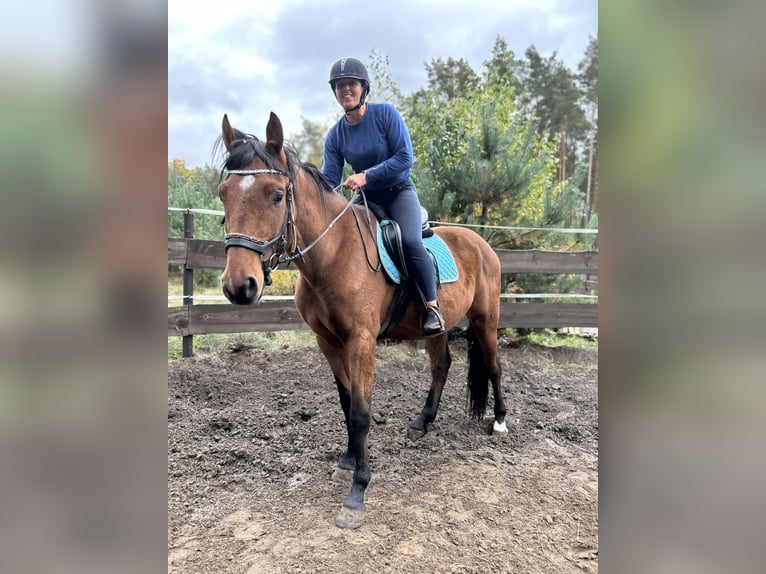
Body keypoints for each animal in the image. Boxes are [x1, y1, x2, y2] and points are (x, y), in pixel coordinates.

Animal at [216, 112, 507, 529]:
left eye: (276, 195)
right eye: (223, 193)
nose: (240, 286)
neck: (334, 253)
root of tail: (481, 243)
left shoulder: (362, 341)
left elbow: (361, 412)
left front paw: (358, 491)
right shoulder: (328, 341)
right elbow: (346, 402)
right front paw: (347, 462)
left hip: (486, 319)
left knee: (495, 366)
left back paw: (499, 421)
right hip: (437, 328)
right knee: (441, 366)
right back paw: (423, 421)